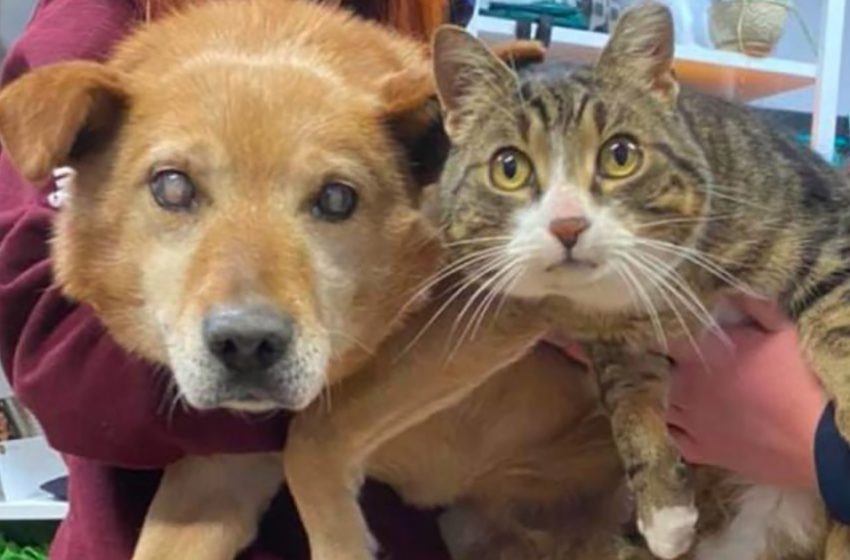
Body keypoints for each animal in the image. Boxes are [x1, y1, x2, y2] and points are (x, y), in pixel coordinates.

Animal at [0, 0, 624, 556]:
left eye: (336, 198)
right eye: (171, 186)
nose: (246, 344)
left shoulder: (508, 302)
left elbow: (315, 434)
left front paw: (340, 540)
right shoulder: (222, 467)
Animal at [434, 4, 844, 560]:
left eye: (620, 155)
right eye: (510, 167)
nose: (568, 225)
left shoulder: (827, 238)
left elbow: (836, 326)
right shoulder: (614, 340)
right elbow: (628, 401)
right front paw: (664, 509)